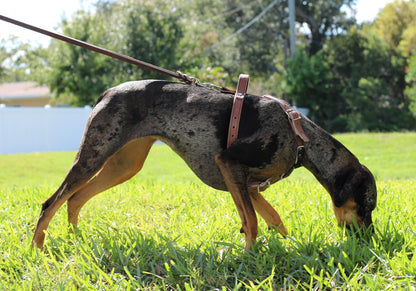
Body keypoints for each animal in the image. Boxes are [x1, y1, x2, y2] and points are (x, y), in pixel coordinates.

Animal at [32, 80, 376, 251]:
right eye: (366, 205)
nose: (369, 239)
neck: (299, 137)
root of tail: (107, 92)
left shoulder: (245, 184)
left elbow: (274, 220)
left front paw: (287, 248)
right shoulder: (230, 165)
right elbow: (252, 222)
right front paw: (249, 258)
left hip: (124, 165)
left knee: (75, 198)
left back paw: (78, 239)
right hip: (93, 156)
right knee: (51, 202)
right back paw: (38, 247)